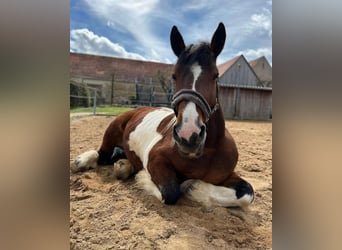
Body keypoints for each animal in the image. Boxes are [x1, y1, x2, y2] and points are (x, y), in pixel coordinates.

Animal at [72, 23, 254, 207]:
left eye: (215, 76)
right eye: (174, 76)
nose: (188, 135)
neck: (208, 151)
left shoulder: (227, 176)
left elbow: (247, 193)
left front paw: (194, 187)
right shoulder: (156, 159)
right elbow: (171, 191)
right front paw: (145, 177)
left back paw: (124, 165)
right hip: (111, 131)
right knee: (101, 154)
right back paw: (83, 161)